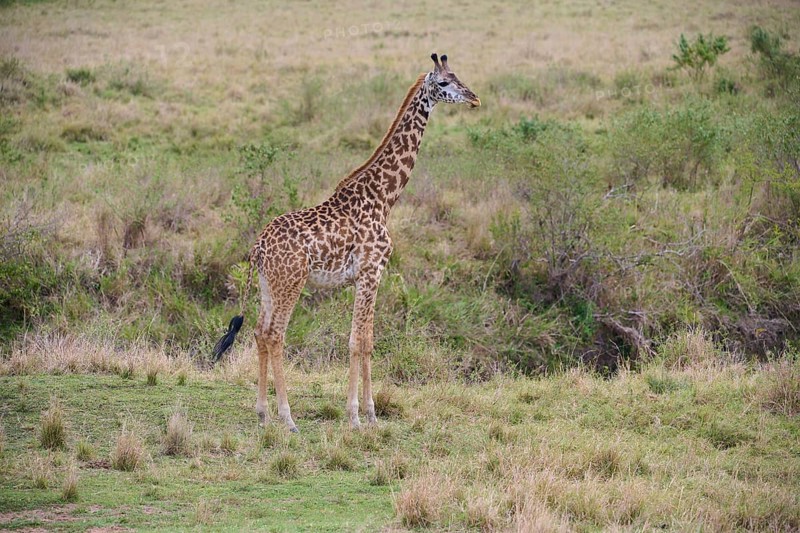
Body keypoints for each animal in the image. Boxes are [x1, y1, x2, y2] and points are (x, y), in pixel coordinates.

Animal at [212, 53, 480, 431]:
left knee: (259, 332)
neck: (384, 198)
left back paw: (263, 413)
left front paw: (371, 413)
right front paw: (355, 416)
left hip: (268, 285)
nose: (474, 98)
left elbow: (368, 340)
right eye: (443, 83)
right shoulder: (371, 272)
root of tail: (258, 247)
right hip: (290, 283)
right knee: (275, 335)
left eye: (458, 76)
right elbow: (356, 341)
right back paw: (287, 417)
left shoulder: (367, 277)